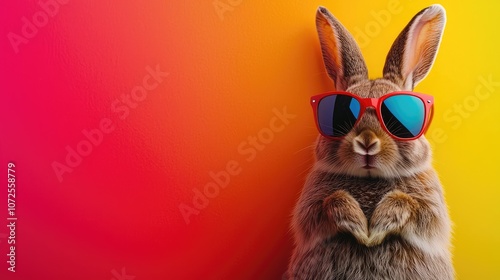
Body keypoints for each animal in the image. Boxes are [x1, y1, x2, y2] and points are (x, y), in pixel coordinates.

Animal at [286, 4, 454, 280]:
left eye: (399, 119)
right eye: (340, 115)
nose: (366, 141)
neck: (369, 178)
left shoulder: (431, 209)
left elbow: (412, 207)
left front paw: (375, 229)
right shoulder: (310, 207)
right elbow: (329, 203)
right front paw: (359, 227)